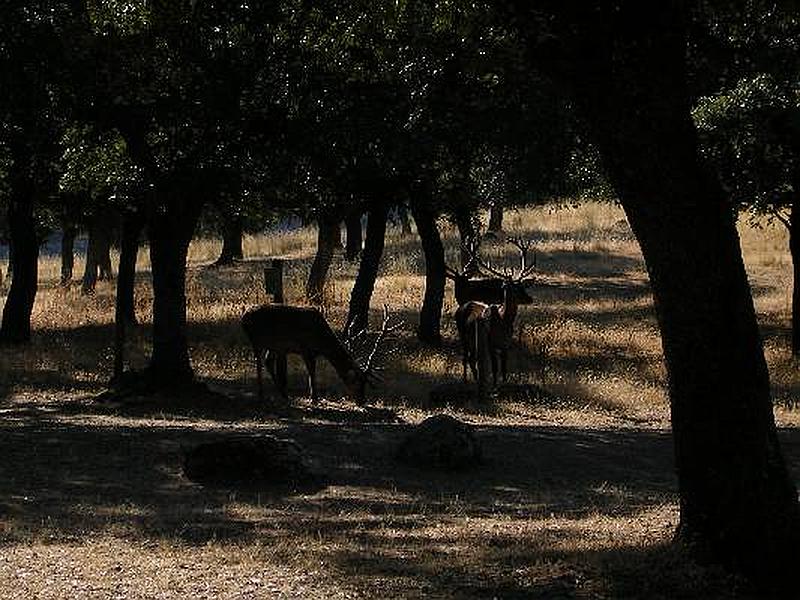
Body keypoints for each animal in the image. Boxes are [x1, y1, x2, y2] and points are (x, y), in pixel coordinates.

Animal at [239, 304, 398, 404]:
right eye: (358, 382)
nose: (362, 401)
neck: (322, 342)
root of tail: (243, 318)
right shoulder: (305, 348)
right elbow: (311, 372)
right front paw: (314, 398)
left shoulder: (310, 352)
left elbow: (312, 371)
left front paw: (314, 397)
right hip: (257, 339)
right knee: (258, 362)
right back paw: (261, 394)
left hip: (273, 345)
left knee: (267, 361)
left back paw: (284, 395)